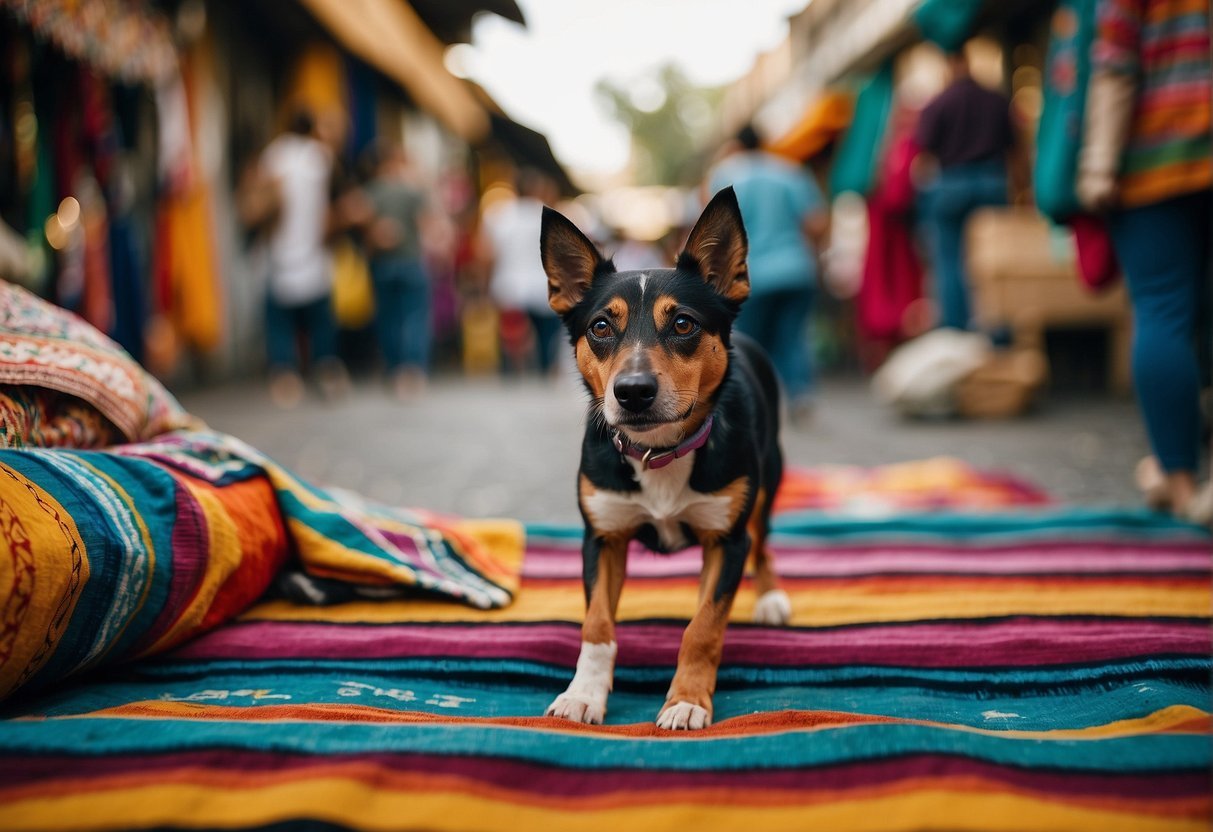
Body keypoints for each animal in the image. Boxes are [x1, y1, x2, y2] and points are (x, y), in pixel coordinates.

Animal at [538, 187, 786, 727]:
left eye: (683, 323)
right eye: (601, 327)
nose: (632, 392)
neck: (661, 450)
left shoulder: (728, 540)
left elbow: (703, 627)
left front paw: (687, 700)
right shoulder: (602, 538)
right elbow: (596, 626)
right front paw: (584, 695)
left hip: (767, 486)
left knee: (763, 543)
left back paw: (771, 596)